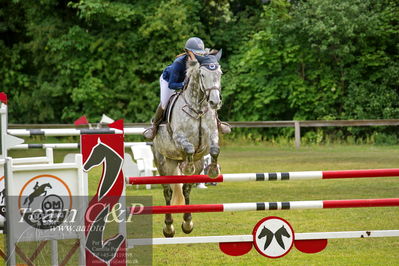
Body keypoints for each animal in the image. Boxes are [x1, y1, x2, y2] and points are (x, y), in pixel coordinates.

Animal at [152, 51, 223, 238]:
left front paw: (213, 171)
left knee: (186, 188)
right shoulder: (179, 138)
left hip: (197, 164)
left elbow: (215, 149)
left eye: (220, 74)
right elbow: (189, 147)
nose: (215, 103)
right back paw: (169, 227)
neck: (198, 106)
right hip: (163, 163)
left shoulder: (211, 137)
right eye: (203, 75)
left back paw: (187, 223)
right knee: (168, 191)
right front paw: (188, 167)